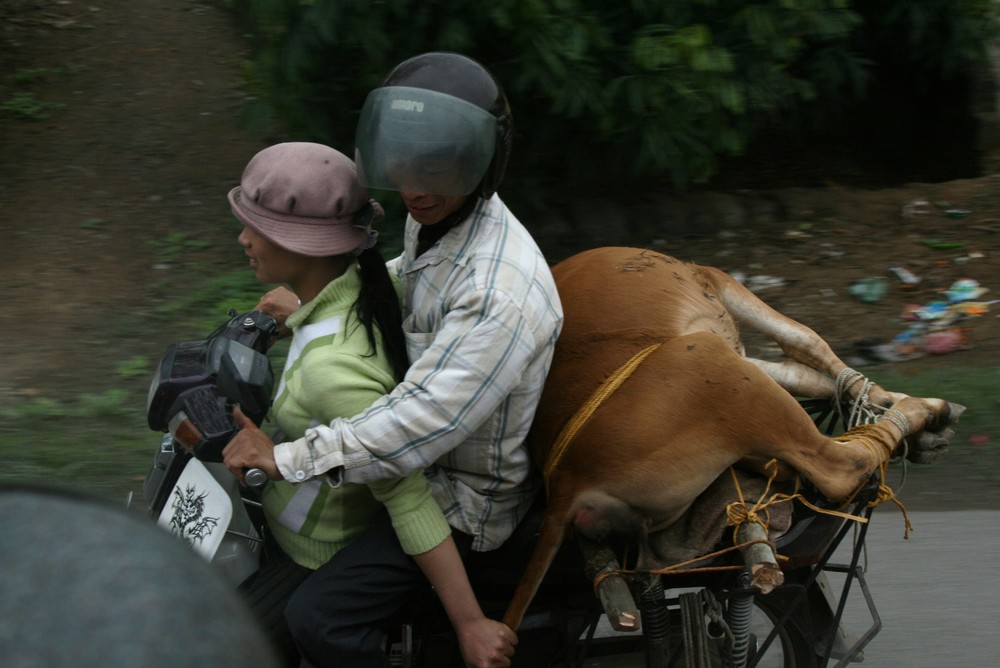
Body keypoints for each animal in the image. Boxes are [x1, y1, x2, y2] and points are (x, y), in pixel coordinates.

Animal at [504, 247, 964, 632]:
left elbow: (805, 373)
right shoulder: (716, 280)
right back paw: (918, 416)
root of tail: (566, 483)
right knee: (838, 468)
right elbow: (806, 343)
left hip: (733, 425)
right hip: (716, 369)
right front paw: (912, 407)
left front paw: (895, 403)